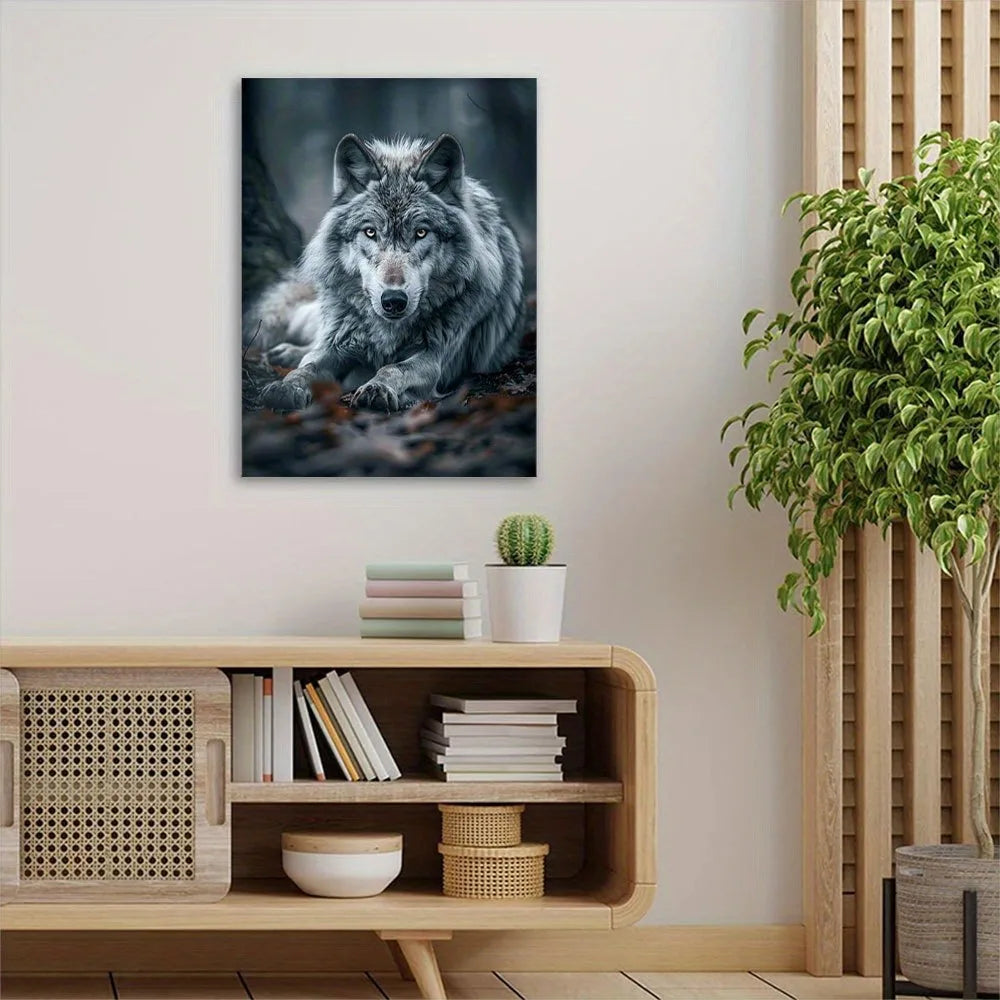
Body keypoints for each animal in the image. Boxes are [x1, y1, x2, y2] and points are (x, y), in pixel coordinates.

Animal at [257, 132, 525, 412]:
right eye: (370, 232)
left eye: (421, 232)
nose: (393, 300)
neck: (388, 333)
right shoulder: (338, 345)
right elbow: (307, 366)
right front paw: (286, 386)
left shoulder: (434, 359)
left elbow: (393, 368)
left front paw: (376, 388)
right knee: (312, 341)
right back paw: (286, 352)